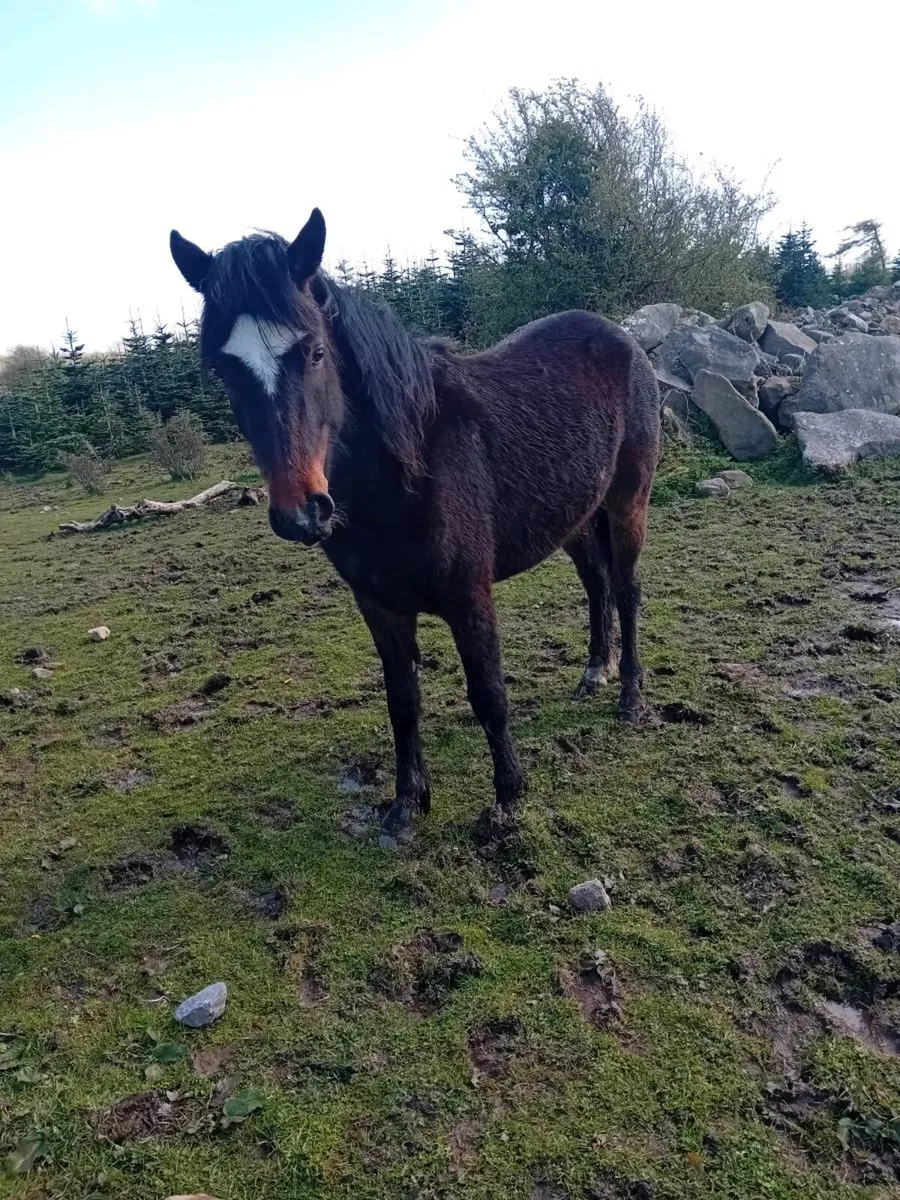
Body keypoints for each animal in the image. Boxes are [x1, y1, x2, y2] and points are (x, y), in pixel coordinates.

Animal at [170, 209, 660, 847]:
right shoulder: (378, 605)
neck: (409, 468)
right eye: (225, 369)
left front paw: (508, 800)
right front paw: (405, 807)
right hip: (575, 517)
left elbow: (488, 693)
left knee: (625, 589)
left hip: (627, 502)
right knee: (597, 584)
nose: (302, 513)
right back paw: (595, 671)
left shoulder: (469, 595)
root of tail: (624, 340)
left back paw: (629, 695)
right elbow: (402, 701)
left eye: (315, 352)